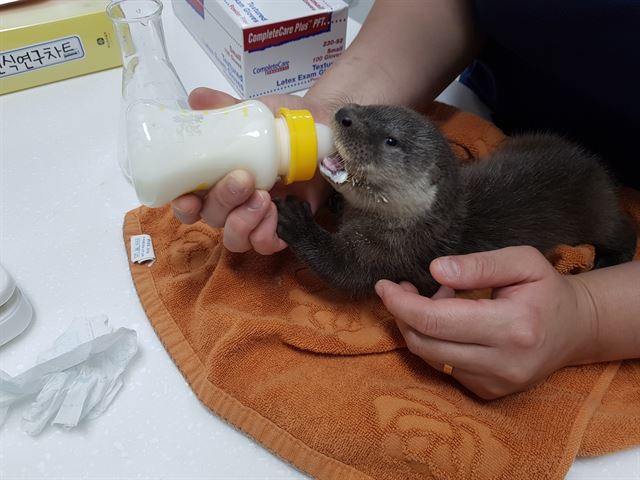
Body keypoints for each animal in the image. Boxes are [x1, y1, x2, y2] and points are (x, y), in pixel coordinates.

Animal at [274, 104, 636, 296]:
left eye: (391, 141)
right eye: (371, 106)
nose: (345, 114)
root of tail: (595, 168)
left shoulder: (389, 254)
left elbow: (342, 270)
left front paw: (294, 218)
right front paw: (336, 204)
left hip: (598, 213)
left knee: (623, 227)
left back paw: (611, 257)